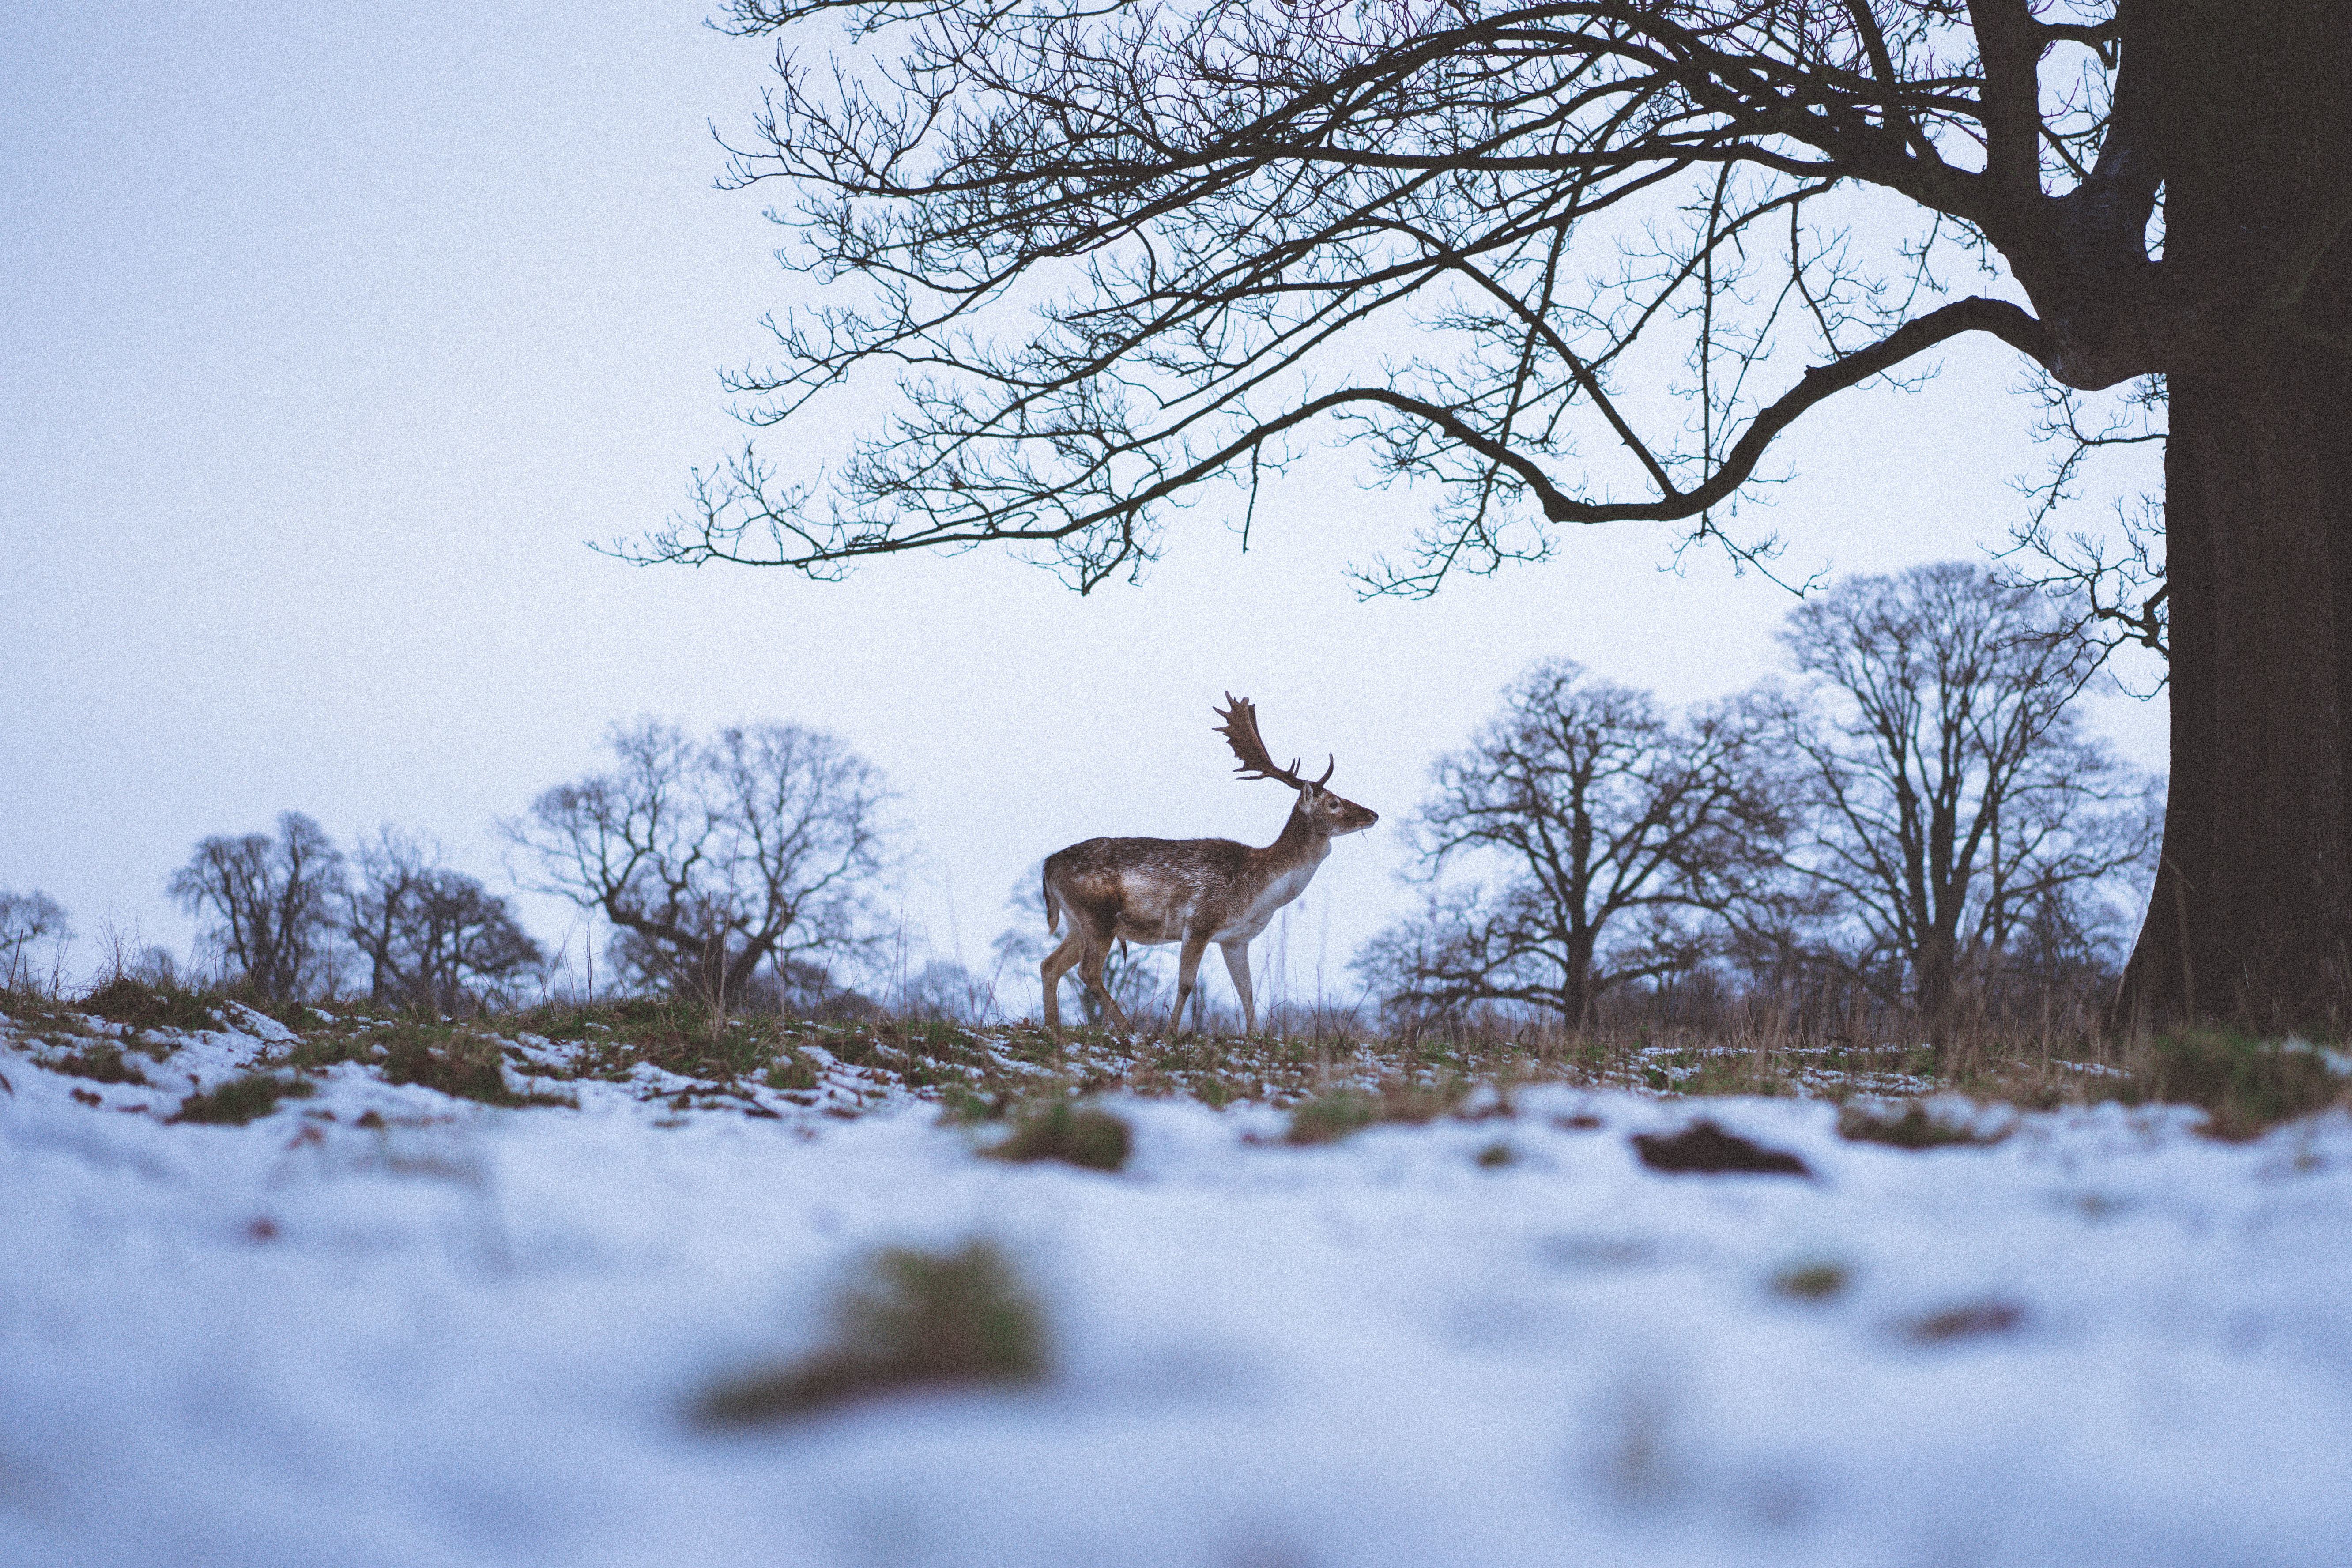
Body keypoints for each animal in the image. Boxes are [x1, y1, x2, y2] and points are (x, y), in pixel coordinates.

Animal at [1035, 691, 1373, 1034]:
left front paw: (1256, 1035)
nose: (1373, 814)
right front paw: (1172, 1032)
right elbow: (1186, 984)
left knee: (1050, 965)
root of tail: (1048, 865)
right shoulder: (1199, 922)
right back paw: (1129, 1028)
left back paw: (1054, 1027)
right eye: (1333, 803)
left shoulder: (1236, 939)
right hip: (1097, 917)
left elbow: (1247, 990)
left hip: (1076, 922)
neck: (1260, 892)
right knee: (1088, 972)